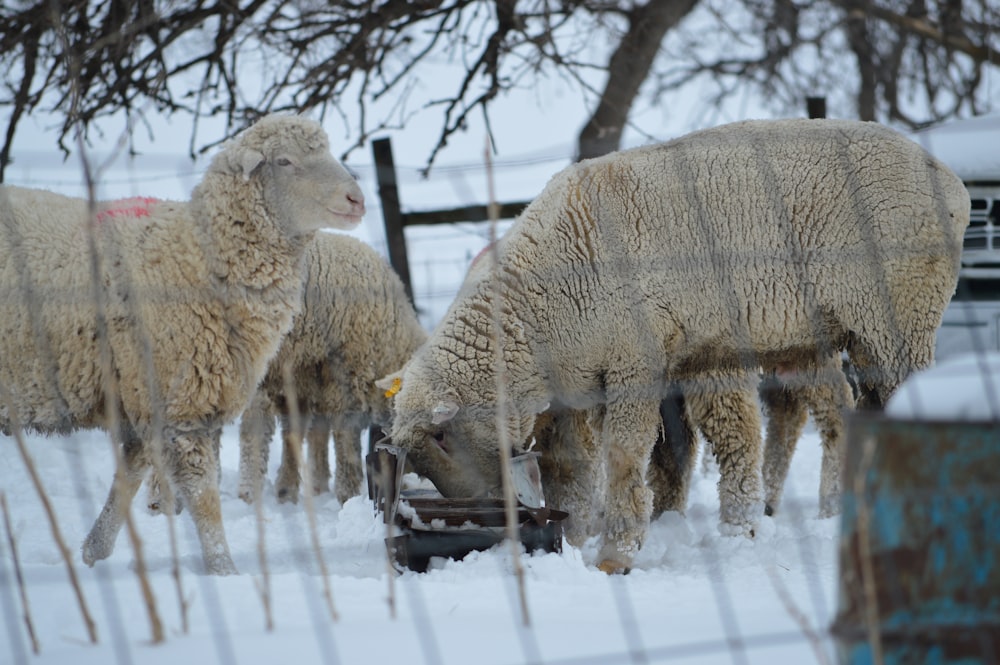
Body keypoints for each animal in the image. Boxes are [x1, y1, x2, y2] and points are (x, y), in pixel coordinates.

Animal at [0, 111, 368, 572]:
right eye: (284, 161)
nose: (357, 199)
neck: (199, 254)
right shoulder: (178, 398)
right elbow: (200, 493)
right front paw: (223, 568)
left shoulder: (148, 392)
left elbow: (130, 472)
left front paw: (94, 550)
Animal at [376, 118, 968, 572]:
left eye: (443, 438)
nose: (489, 514)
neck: (537, 307)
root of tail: (952, 183)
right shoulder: (594, 381)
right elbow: (572, 470)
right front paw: (582, 537)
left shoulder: (633, 362)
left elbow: (622, 458)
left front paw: (615, 554)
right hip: (823, 332)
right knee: (843, 415)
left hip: (899, 317)